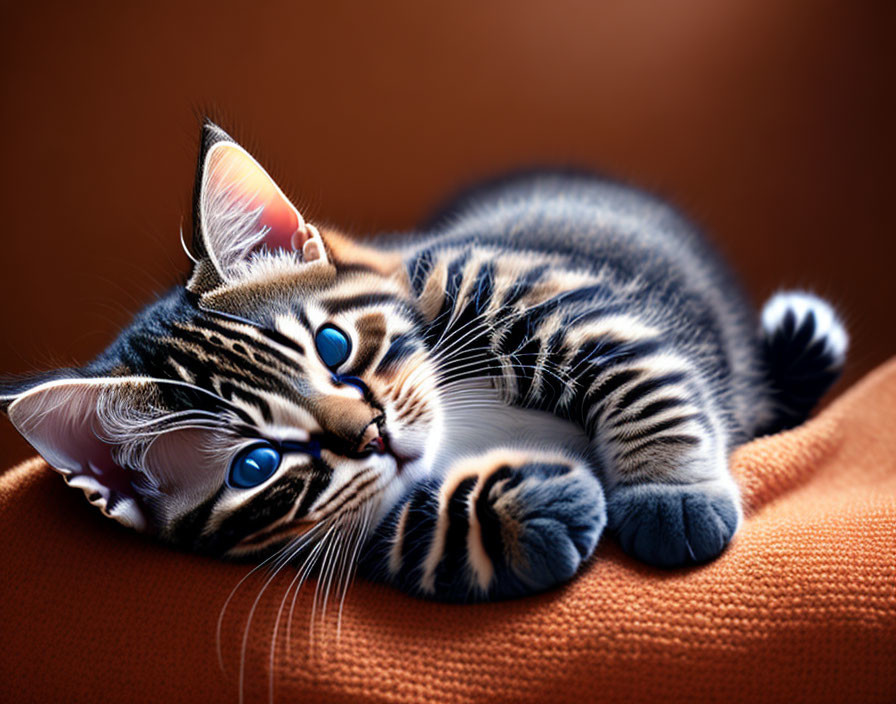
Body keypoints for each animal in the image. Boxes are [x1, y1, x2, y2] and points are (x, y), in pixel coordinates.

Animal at [0, 121, 848, 600]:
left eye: (334, 347)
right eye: (256, 465)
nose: (370, 433)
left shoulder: (522, 285)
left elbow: (633, 368)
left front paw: (671, 493)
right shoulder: (326, 534)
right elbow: (395, 534)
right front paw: (528, 512)